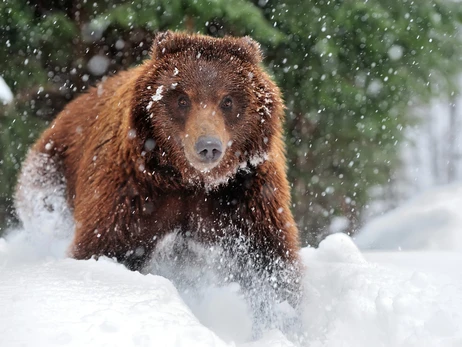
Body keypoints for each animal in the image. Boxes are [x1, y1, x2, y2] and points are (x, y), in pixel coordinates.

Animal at [14, 31, 302, 304]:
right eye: (183, 99)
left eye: (227, 100)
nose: (208, 146)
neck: (190, 181)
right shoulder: (133, 191)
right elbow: (103, 245)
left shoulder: (245, 196)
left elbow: (269, 267)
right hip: (51, 172)